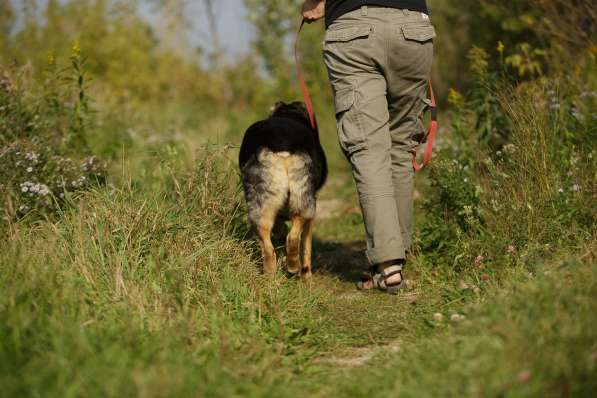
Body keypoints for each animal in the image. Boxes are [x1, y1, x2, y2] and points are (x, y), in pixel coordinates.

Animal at [239, 101, 326, 278]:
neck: (289, 113)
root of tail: (282, 146)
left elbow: (280, 231)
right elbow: (306, 246)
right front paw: (307, 276)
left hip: (261, 203)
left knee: (267, 242)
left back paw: (270, 272)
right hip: (305, 200)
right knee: (294, 235)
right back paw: (293, 266)